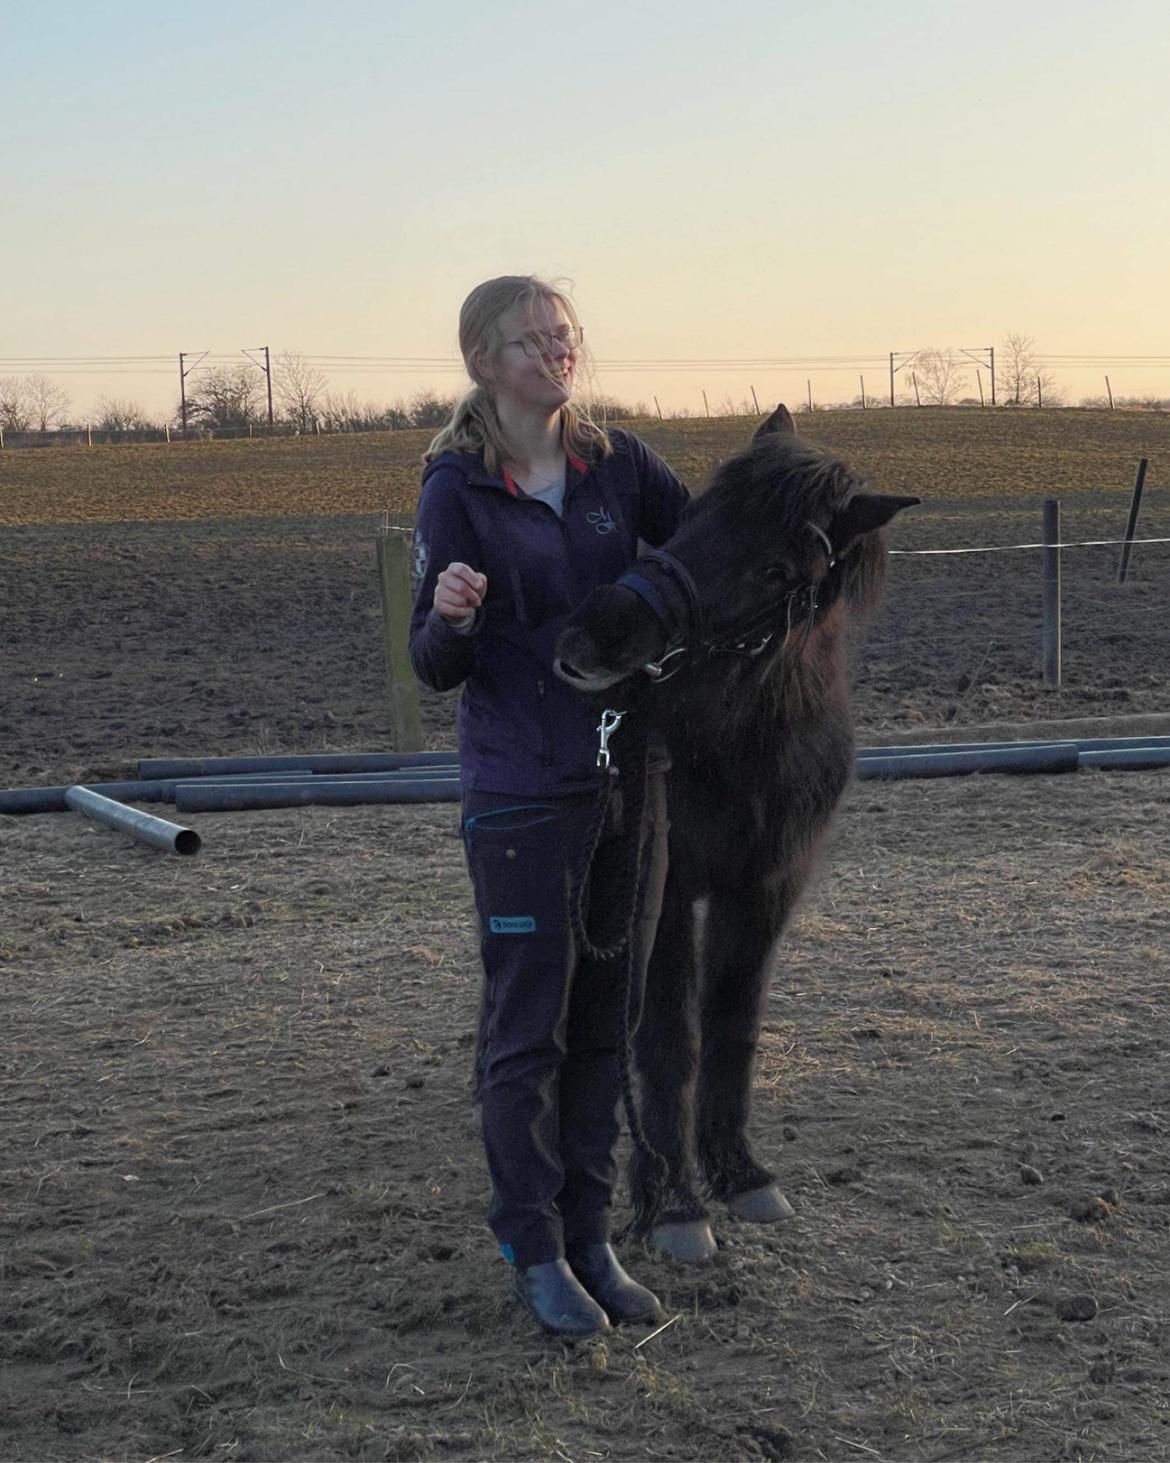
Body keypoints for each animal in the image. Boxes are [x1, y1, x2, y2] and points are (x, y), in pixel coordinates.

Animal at [552, 409, 918, 1258]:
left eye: (778, 570)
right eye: (690, 517)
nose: (590, 635)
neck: (745, 747)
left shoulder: (766, 886)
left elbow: (732, 1021)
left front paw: (740, 1171)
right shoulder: (666, 882)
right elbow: (671, 1038)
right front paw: (674, 1198)